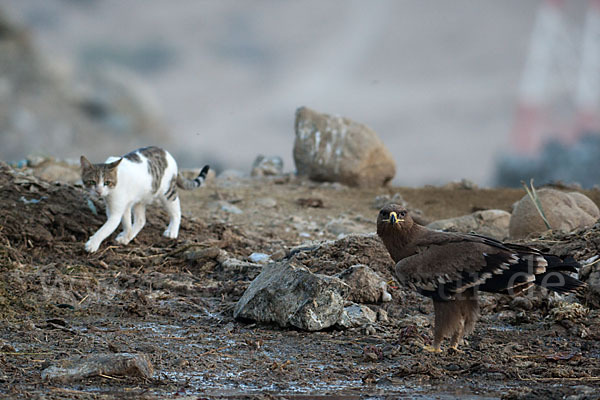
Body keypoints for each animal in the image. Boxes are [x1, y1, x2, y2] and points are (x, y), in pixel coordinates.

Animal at [79, 146, 210, 253]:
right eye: (92, 182)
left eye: (107, 182)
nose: (99, 191)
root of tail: (167, 153)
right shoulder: (120, 205)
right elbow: (126, 222)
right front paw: (127, 236)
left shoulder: (117, 210)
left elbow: (106, 228)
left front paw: (92, 244)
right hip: (140, 199)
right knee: (141, 220)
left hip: (168, 193)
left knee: (176, 212)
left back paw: (172, 231)